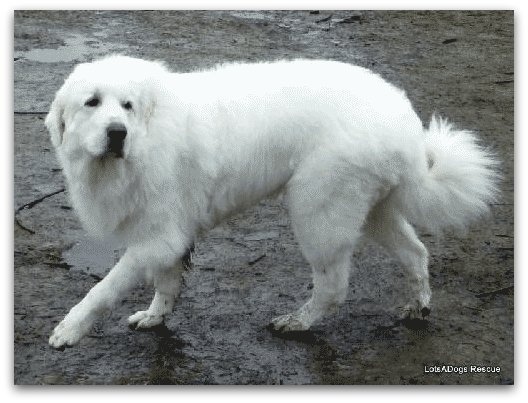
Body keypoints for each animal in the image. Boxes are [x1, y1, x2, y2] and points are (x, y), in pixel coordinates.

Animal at [45, 55, 496, 348]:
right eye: (92, 102)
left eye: (127, 106)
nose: (117, 133)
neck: (147, 132)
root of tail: (405, 121)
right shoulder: (168, 235)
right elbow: (167, 283)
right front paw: (156, 317)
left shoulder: (157, 239)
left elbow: (103, 288)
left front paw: (69, 330)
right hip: (374, 212)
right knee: (417, 254)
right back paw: (419, 307)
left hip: (318, 213)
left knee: (333, 286)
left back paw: (297, 323)